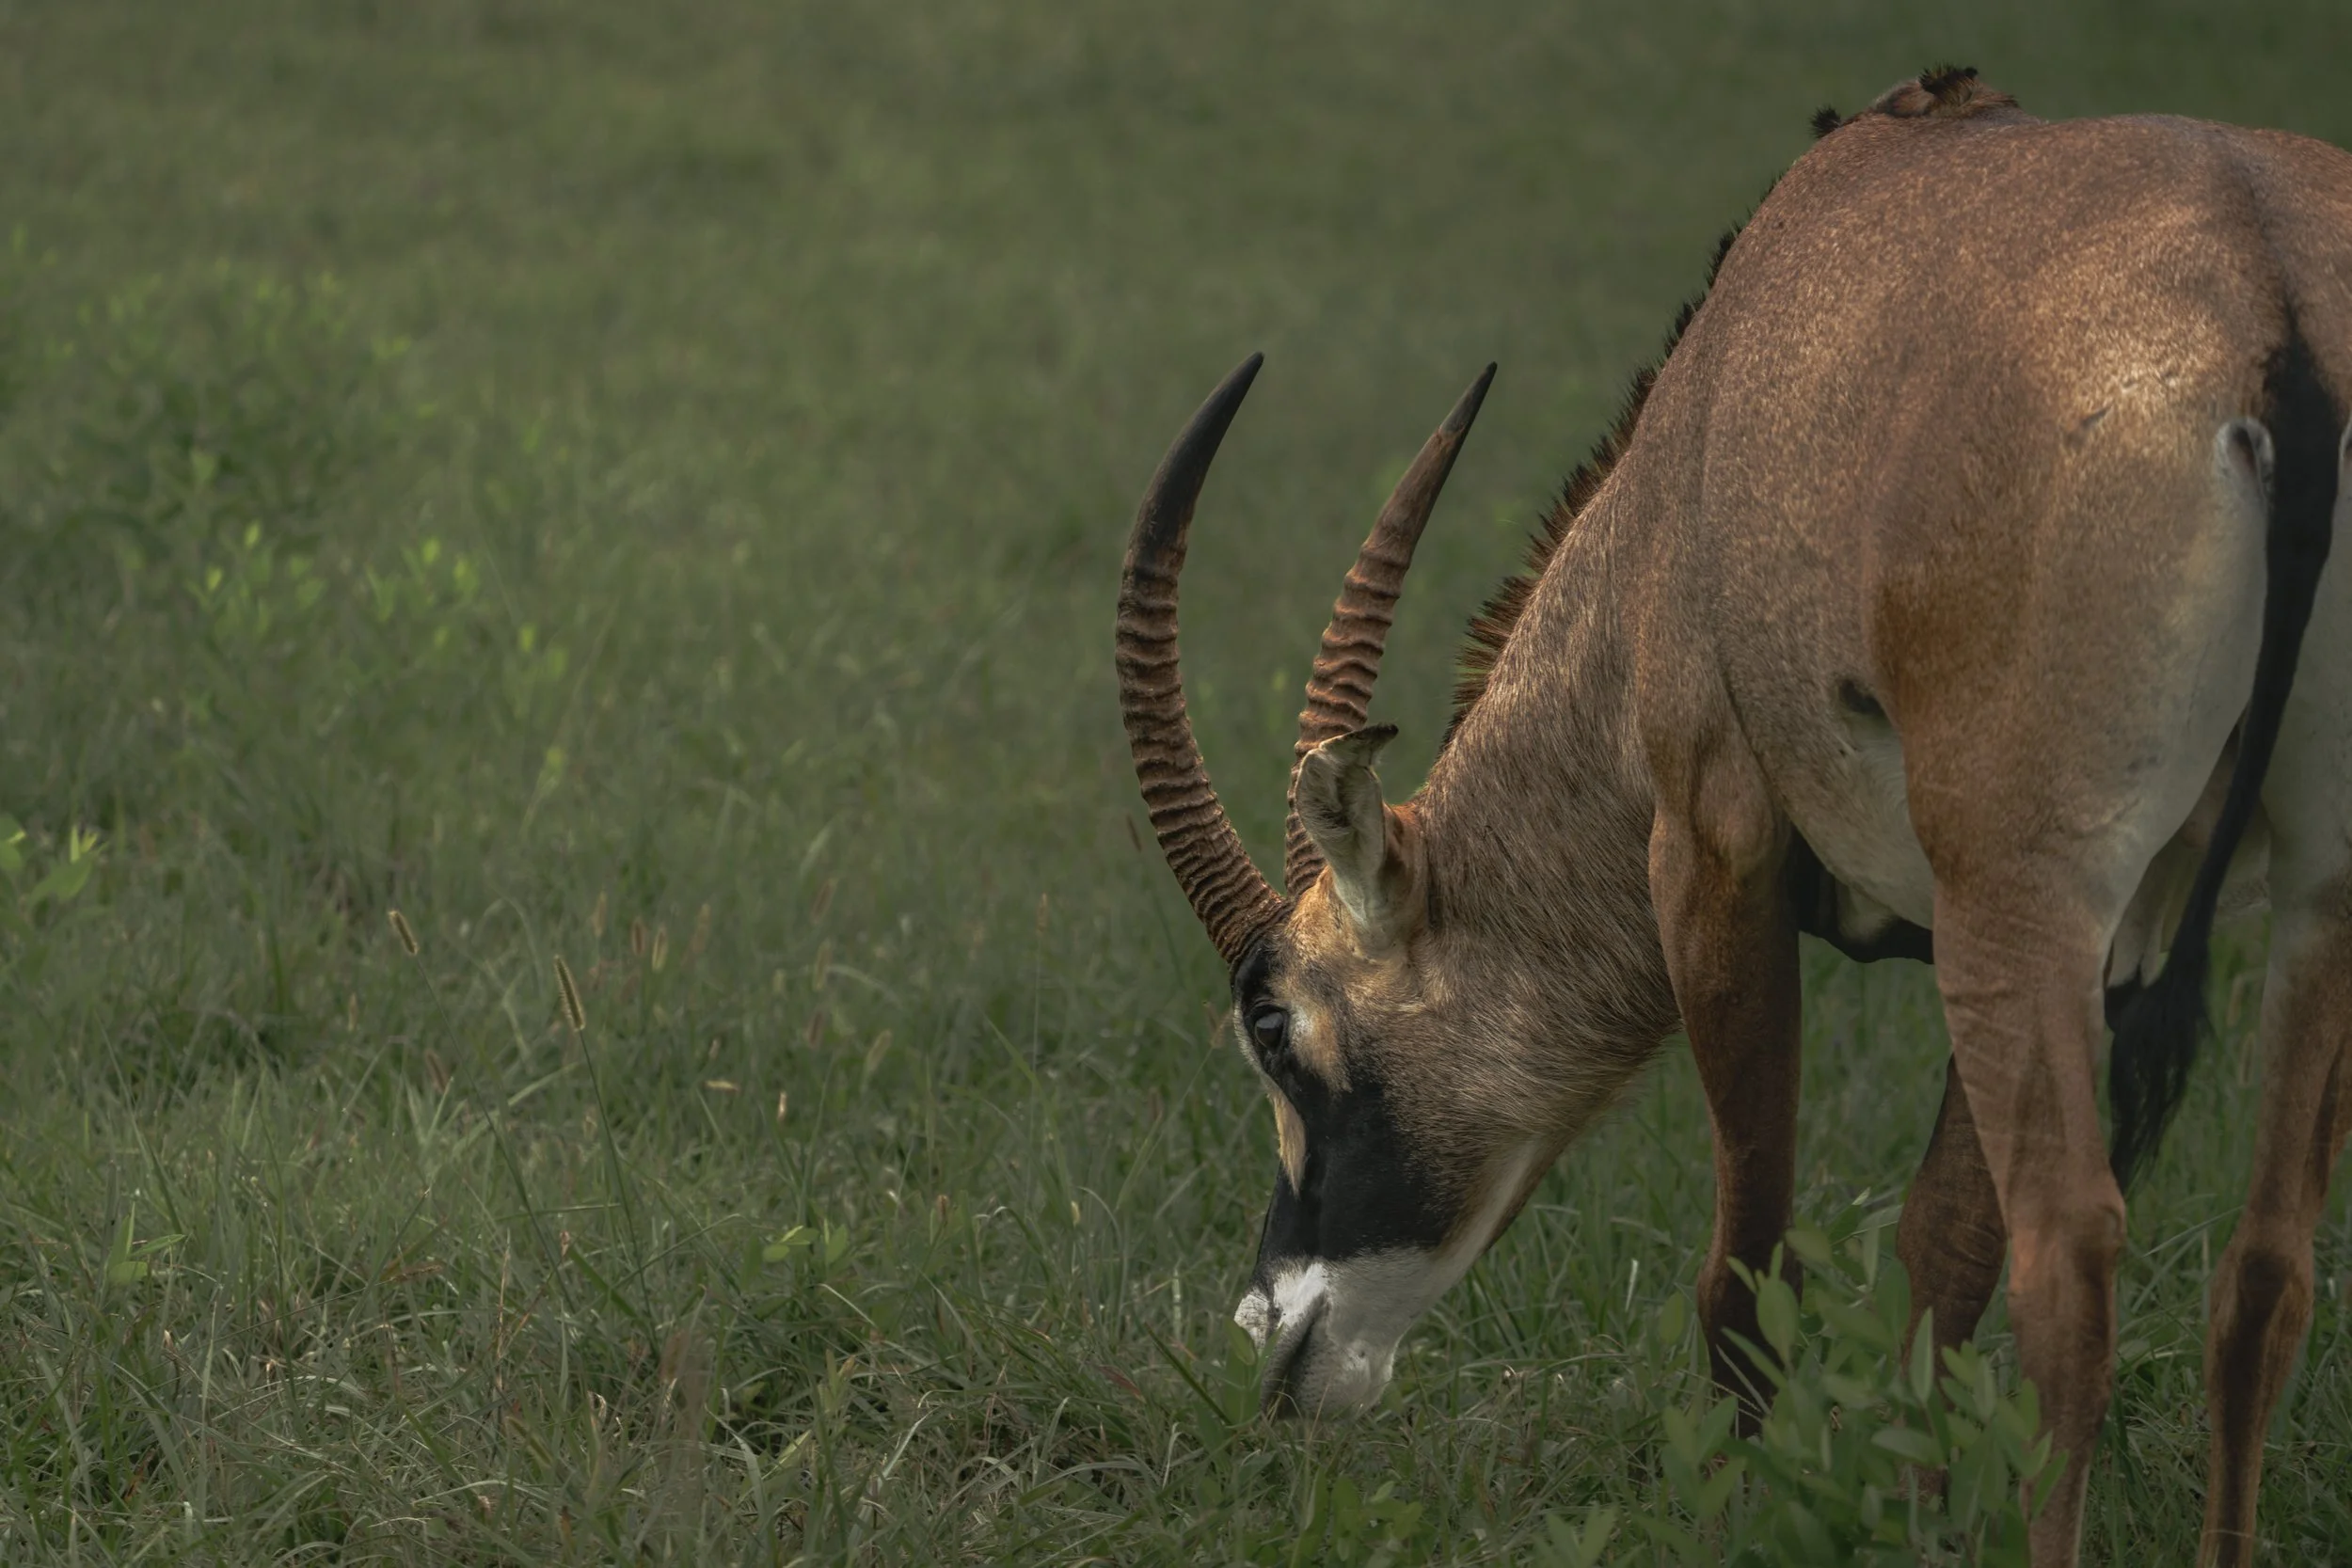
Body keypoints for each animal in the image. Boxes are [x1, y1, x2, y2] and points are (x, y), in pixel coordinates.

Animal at [1113, 70, 2348, 1567]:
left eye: (1276, 1024)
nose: (1276, 1333)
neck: (1690, 453)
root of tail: (2271, 302)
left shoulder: (1712, 846)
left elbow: (1746, 1261)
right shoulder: (2080, 949)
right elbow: (1940, 1249)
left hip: (2025, 887)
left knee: (2070, 1251)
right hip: (2295, 897)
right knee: (2266, 1264)